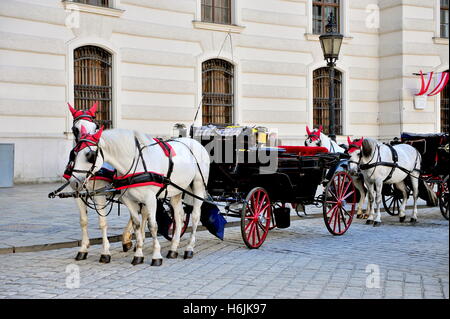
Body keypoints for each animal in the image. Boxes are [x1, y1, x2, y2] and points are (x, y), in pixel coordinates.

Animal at [68, 128, 211, 268]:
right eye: (74, 154)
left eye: (89, 155)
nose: (74, 183)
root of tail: (195, 142)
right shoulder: (128, 199)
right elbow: (136, 224)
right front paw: (138, 255)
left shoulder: (150, 199)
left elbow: (152, 226)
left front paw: (156, 256)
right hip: (177, 190)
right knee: (179, 216)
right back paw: (173, 248)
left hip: (198, 186)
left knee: (195, 216)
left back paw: (189, 248)